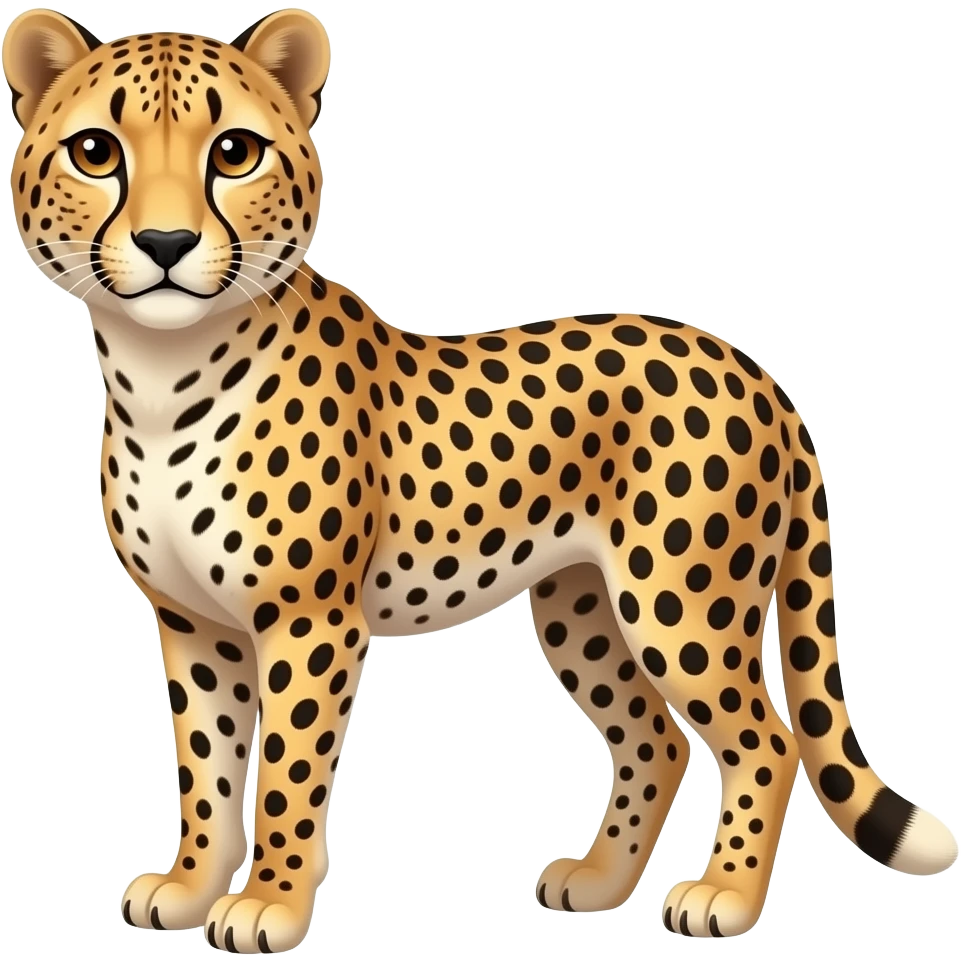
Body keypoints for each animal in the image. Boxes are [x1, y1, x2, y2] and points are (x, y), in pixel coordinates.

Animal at [4, 6, 958, 951]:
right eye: (96, 152)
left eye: (234, 153)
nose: (166, 243)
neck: (162, 371)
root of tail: (753, 368)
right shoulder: (192, 623)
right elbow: (205, 772)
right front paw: (191, 885)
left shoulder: (309, 622)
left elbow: (284, 774)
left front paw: (269, 901)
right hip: (581, 608)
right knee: (654, 738)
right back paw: (597, 880)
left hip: (680, 604)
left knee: (765, 739)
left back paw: (721, 896)